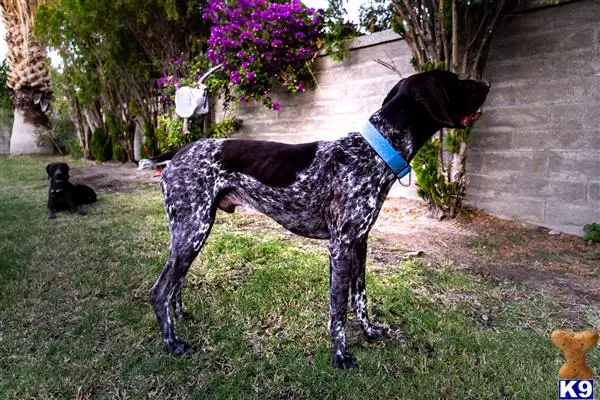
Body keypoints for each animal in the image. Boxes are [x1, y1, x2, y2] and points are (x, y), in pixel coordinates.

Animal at [148, 69, 490, 368]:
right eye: (456, 81)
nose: (486, 84)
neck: (374, 153)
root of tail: (178, 153)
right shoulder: (341, 247)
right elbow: (338, 310)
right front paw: (340, 356)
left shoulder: (360, 244)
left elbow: (360, 298)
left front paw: (370, 333)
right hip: (193, 230)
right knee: (160, 290)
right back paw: (171, 342)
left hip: (189, 233)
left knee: (175, 282)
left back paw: (180, 316)